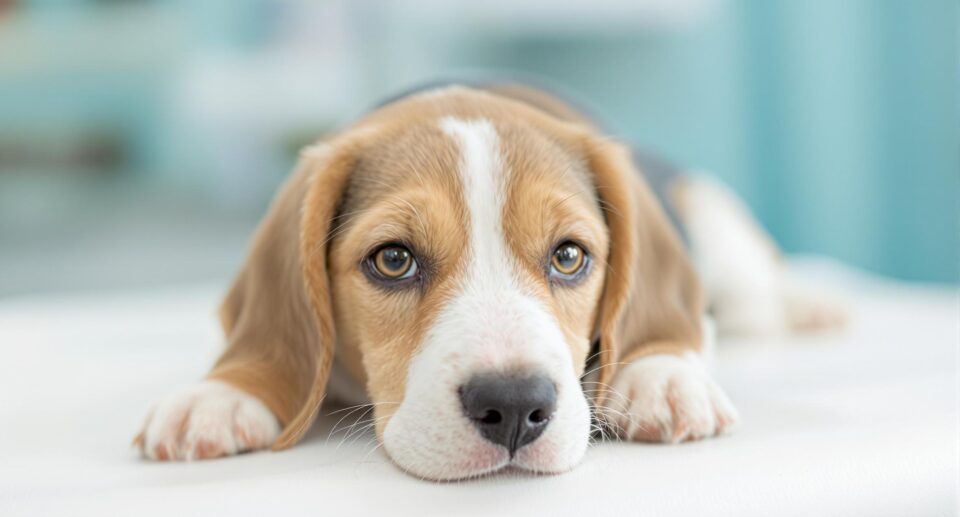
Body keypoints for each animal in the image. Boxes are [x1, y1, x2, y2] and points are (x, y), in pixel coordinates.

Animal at [133, 81, 840, 480]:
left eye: (569, 256)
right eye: (394, 260)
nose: (516, 408)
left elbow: (672, 334)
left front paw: (660, 373)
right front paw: (226, 390)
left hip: (724, 239)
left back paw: (811, 300)